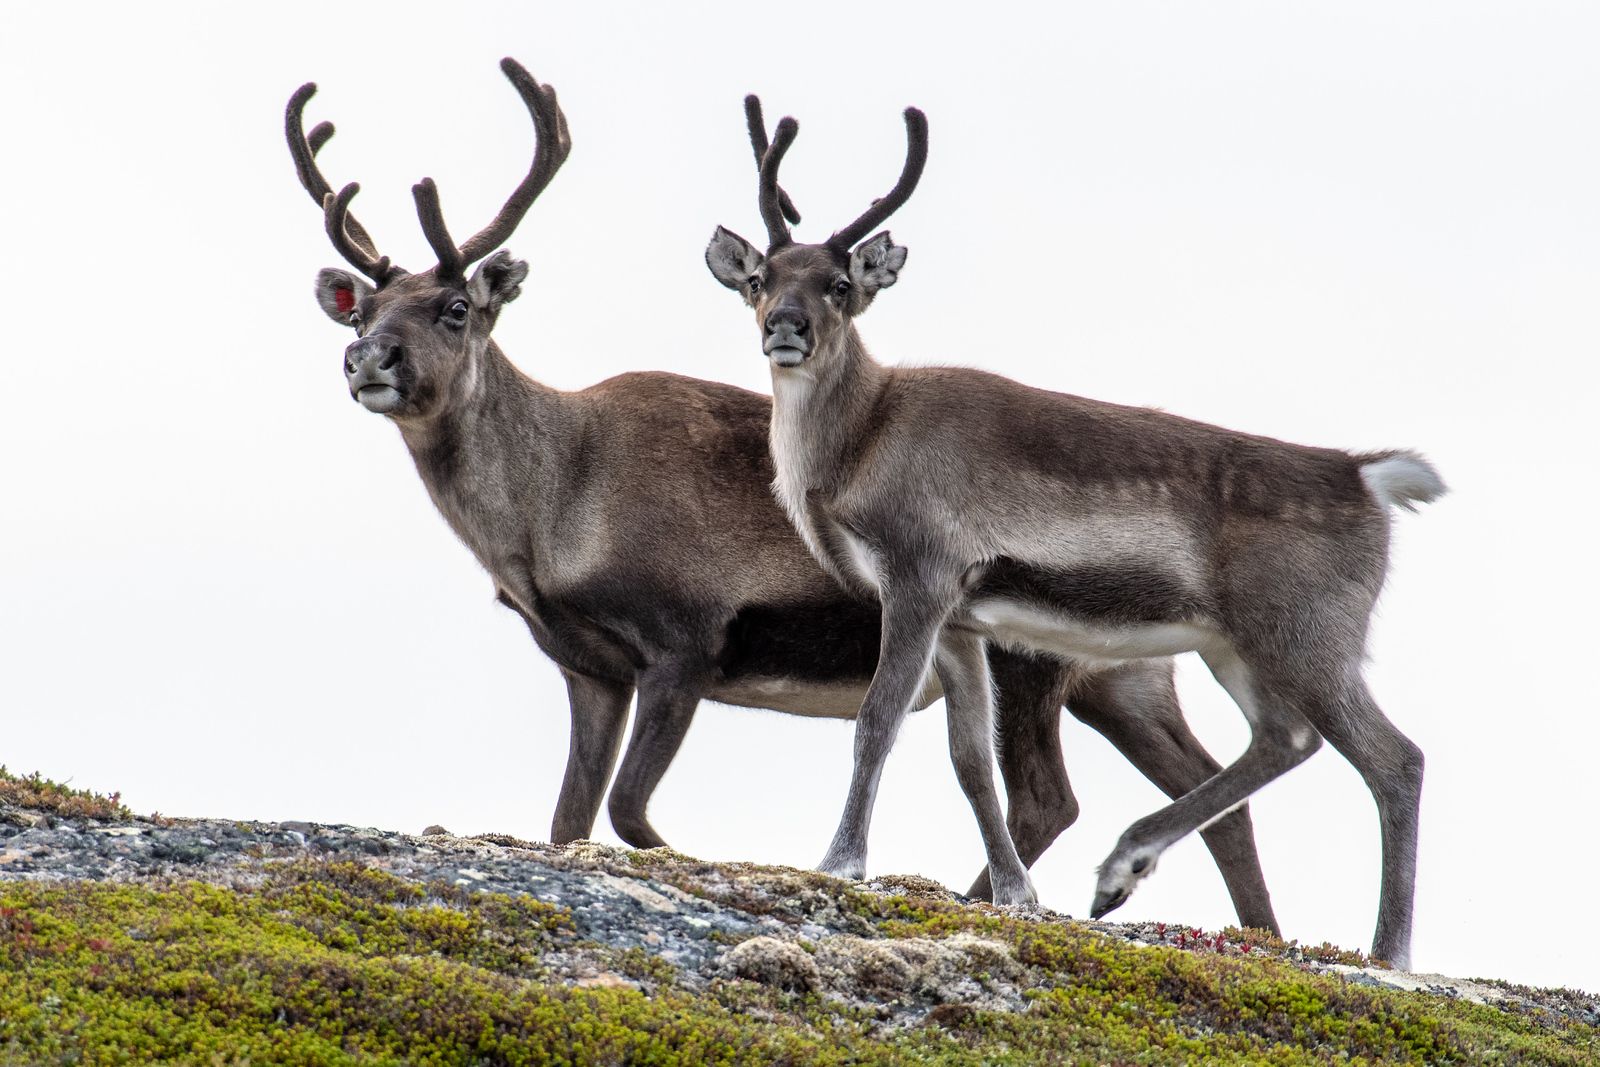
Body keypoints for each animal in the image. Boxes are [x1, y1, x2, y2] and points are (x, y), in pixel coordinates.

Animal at [286, 59, 1281, 933]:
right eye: (362, 308)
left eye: (457, 307)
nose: (367, 358)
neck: (551, 512)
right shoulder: (588, 666)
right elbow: (569, 824)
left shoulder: (684, 641)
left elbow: (629, 814)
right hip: (1124, 675)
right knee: (1205, 790)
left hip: (1039, 661)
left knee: (1053, 796)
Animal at [705, 103, 1444, 967]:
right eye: (761, 278)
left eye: (841, 285)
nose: (784, 329)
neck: (859, 441)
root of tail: (1366, 474)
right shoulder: (962, 617)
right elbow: (969, 760)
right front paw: (1016, 891)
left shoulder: (918, 576)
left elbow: (878, 718)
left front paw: (840, 859)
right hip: (1237, 645)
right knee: (1286, 739)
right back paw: (1124, 866)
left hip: (1307, 634)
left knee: (1395, 758)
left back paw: (1389, 952)